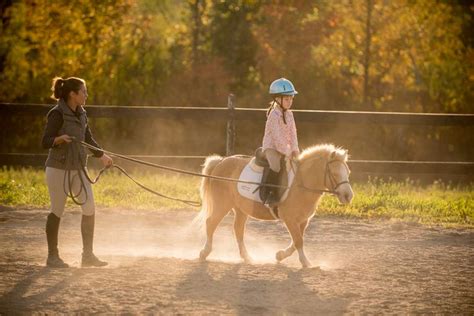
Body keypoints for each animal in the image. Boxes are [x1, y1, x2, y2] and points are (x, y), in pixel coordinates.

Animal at [195, 144, 352, 268]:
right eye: (335, 173)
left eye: (348, 172)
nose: (348, 196)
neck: (300, 183)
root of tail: (221, 162)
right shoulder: (290, 219)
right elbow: (298, 241)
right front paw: (306, 263)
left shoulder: (303, 221)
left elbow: (296, 242)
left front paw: (280, 255)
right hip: (222, 205)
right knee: (211, 223)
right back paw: (204, 253)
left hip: (240, 209)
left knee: (238, 230)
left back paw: (247, 258)